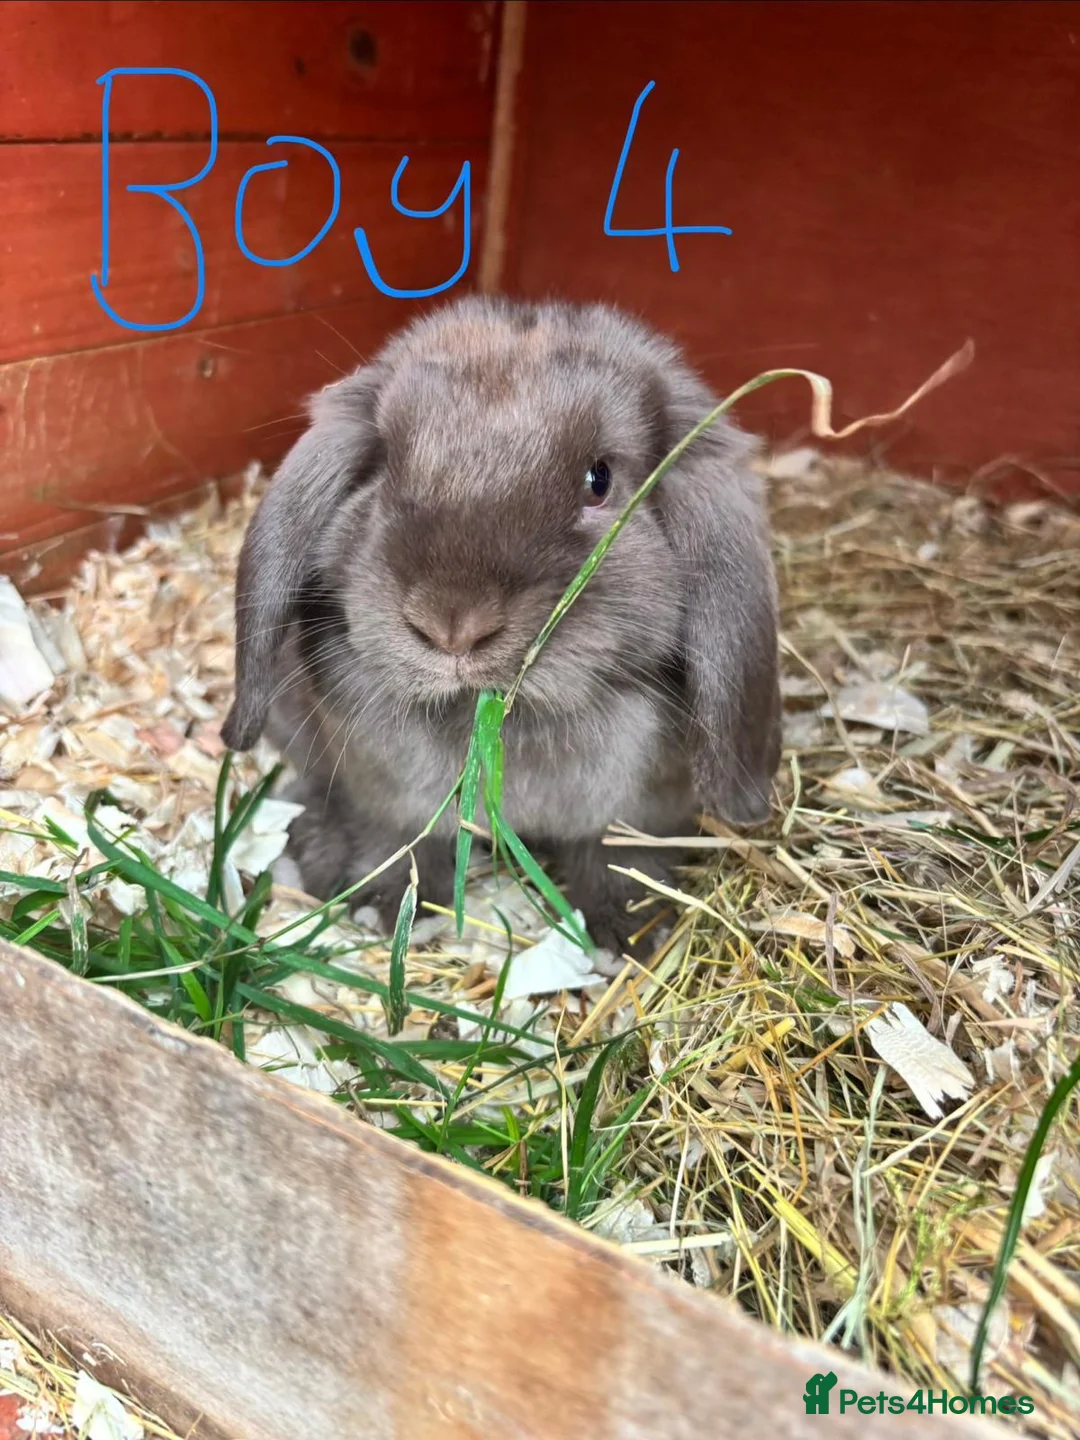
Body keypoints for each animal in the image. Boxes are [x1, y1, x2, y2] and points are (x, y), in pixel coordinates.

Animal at [221, 295, 782, 955]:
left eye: (600, 479)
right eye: (386, 466)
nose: (451, 625)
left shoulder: (637, 812)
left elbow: (616, 858)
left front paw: (630, 932)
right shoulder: (384, 795)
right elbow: (400, 843)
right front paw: (385, 909)